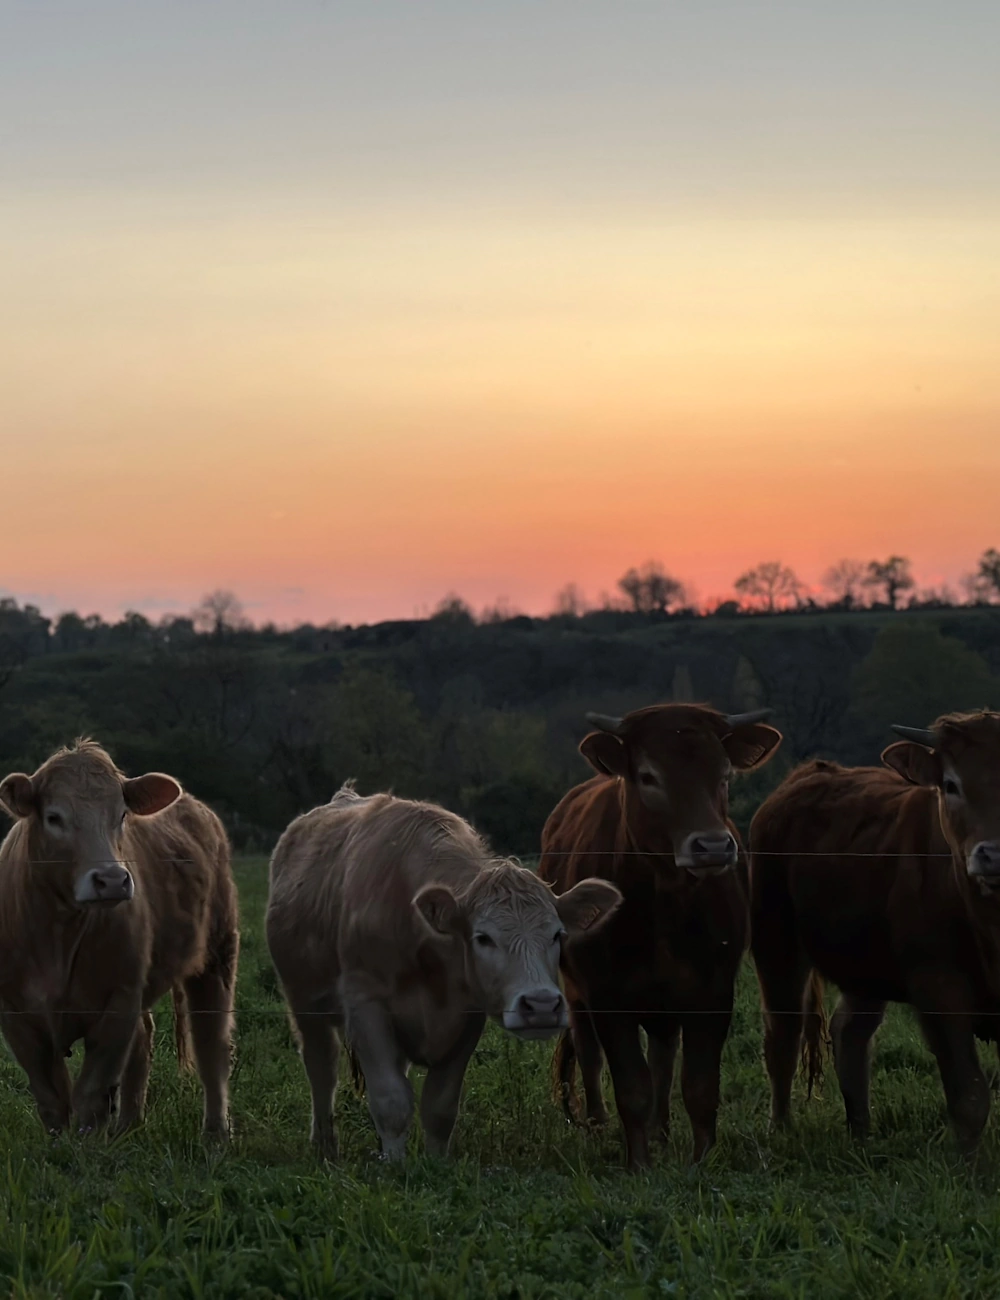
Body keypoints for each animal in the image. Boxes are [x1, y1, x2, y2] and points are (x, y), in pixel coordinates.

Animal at [0, 743, 237, 1138]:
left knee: (211, 1046)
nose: (111, 880)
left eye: (121, 815)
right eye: (54, 817)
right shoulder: (16, 1014)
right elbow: (52, 1098)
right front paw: (60, 1145)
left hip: (217, 956)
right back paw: (128, 1126)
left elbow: (91, 1094)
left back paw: (216, 1133)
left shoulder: (119, 1002)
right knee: (143, 1042)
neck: (57, 937)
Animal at [265, 785, 624, 1164]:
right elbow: (391, 1100)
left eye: (557, 934)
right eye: (483, 937)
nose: (541, 1005)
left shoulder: (465, 1018)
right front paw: (395, 1166)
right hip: (304, 1002)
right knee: (321, 1068)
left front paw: (435, 1164)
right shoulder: (366, 1007)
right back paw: (325, 1146)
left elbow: (439, 1106)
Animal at [538, 707, 780, 1175]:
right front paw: (639, 1164)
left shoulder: (713, 992)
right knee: (590, 1054)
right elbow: (631, 1085)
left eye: (724, 774)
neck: (664, 902)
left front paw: (701, 1160)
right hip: (577, 993)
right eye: (649, 776)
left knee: (664, 1060)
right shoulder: (607, 996)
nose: (712, 846)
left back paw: (660, 1130)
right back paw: (598, 1125)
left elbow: (699, 1085)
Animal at [749, 717, 998, 1154]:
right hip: (776, 943)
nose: (991, 854)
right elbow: (970, 1097)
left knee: (849, 1031)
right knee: (783, 1036)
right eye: (951, 785)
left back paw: (861, 1131)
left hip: (864, 964)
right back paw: (779, 1128)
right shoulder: (938, 990)